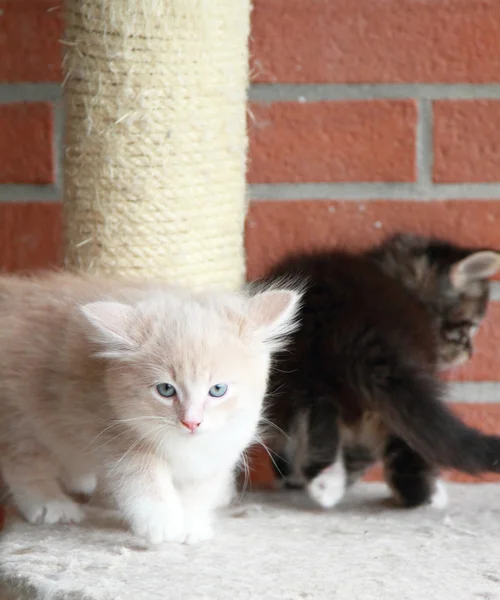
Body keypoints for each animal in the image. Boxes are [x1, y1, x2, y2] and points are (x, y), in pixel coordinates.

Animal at [0, 274, 300, 548]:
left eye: (217, 390)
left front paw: (191, 524)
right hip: (21, 418)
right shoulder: (113, 430)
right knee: (23, 462)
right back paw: (51, 503)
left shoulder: (222, 445)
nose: (192, 422)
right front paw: (162, 522)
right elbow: (143, 477)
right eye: (166, 390)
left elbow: (200, 489)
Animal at [260, 234, 500, 510]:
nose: (469, 353)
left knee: (312, 411)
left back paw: (321, 480)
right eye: (469, 327)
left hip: (296, 368)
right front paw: (427, 494)